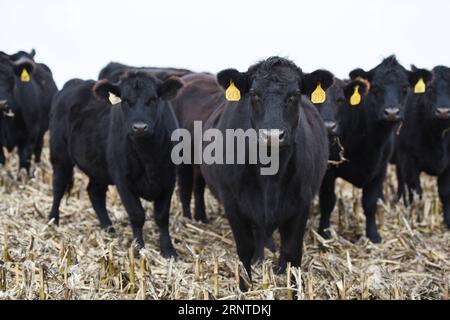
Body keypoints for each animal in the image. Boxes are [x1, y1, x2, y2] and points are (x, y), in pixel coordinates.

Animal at [48, 71, 183, 256]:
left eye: (153, 99)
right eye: (125, 100)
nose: (139, 127)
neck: (149, 157)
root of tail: (74, 83)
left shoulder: (168, 180)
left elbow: (162, 217)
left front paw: (168, 250)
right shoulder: (123, 182)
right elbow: (137, 215)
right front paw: (138, 249)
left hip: (98, 167)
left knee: (95, 193)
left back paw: (108, 228)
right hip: (60, 156)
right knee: (58, 186)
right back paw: (53, 220)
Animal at [195, 56, 332, 288]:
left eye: (294, 95)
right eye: (254, 94)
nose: (272, 135)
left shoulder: (301, 204)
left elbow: (292, 252)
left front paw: (292, 286)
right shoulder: (232, 204)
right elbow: (244, 250)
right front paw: (246, 288)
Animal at [318, 57, 420, 242]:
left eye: (405, 88)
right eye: (376, 88)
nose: (392, 112)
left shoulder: (380, 169)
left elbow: (370, 202)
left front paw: (373, 235)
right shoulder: (329, 169)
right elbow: (328, 201)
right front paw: (324, 233)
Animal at [396, 65, 450, 228]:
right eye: (430, 88)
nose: (444, 111)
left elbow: (445, 192)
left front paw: (448, 221)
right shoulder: (408, 160)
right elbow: (416, 192)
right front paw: (417, 220)